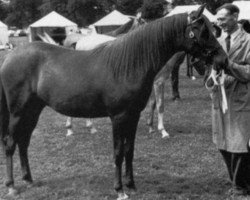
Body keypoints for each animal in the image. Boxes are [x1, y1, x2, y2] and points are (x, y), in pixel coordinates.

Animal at [0, 5, 227, 200]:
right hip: (18, 112)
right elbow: (118, 152)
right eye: (202, 31)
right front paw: (119, 190)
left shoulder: (133, 116)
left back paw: (28, 179)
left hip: (33, 111)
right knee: (11, 143)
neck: (128, 65)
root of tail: (10, 56)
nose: (222, 60)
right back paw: (11, 186)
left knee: (24, 142)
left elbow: (129, 151)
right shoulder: (118, 118)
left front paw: (131, 185)